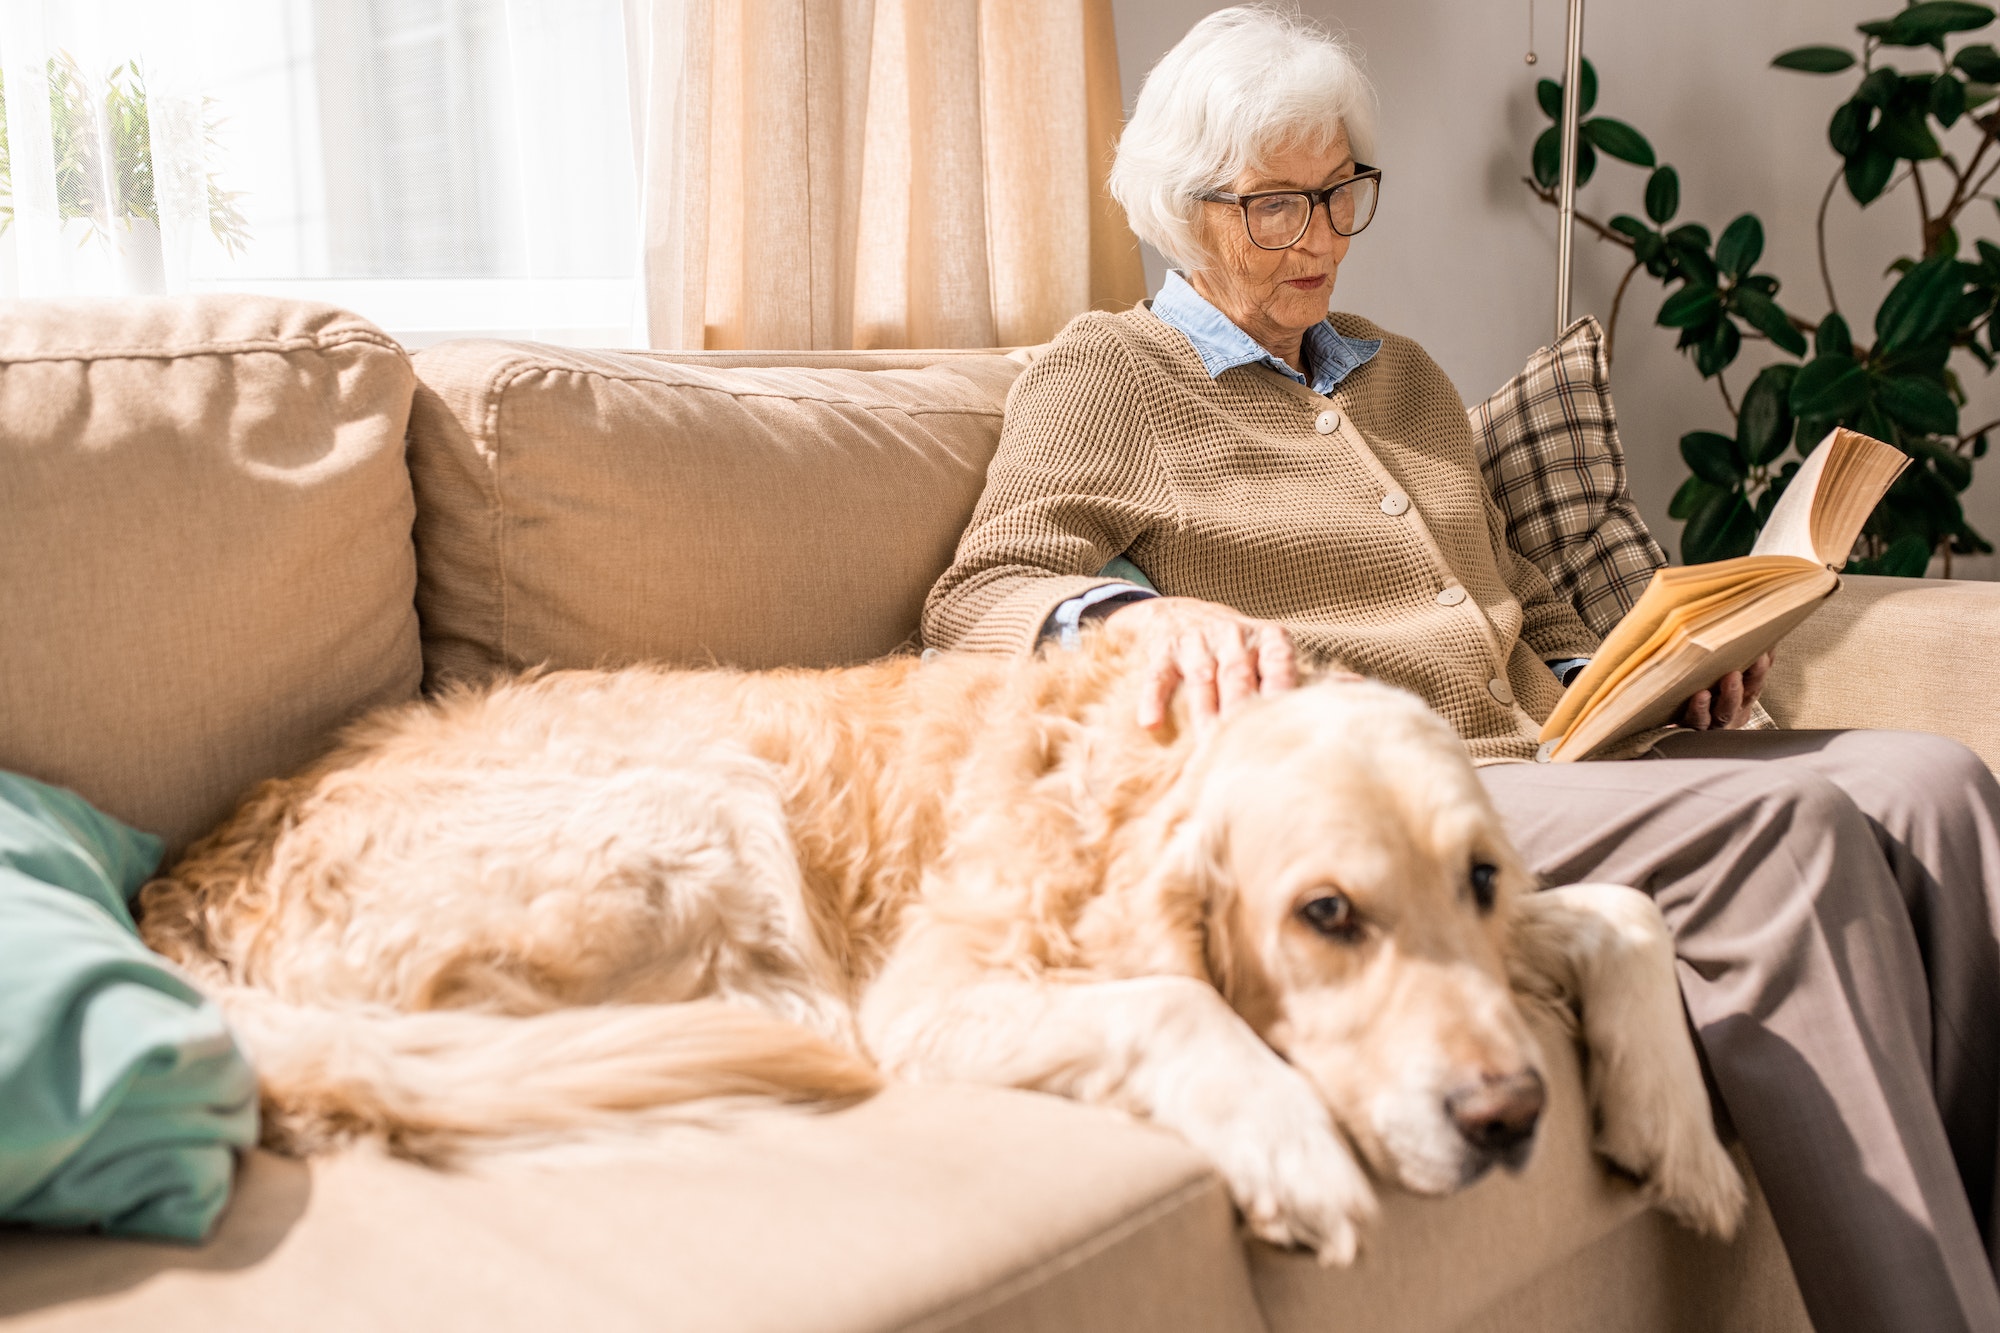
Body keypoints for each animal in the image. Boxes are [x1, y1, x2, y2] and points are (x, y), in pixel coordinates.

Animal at [141, 632, 1744, 1256]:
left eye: (1477, 878)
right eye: (1325, 915)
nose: (1511, 1116)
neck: (1138, 766)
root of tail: (186, 891)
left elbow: (1623, 909)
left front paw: (1681, 1133)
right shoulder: (931, 997)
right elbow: (1174, 1003)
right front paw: (1293, 1147)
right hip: (710, 805)